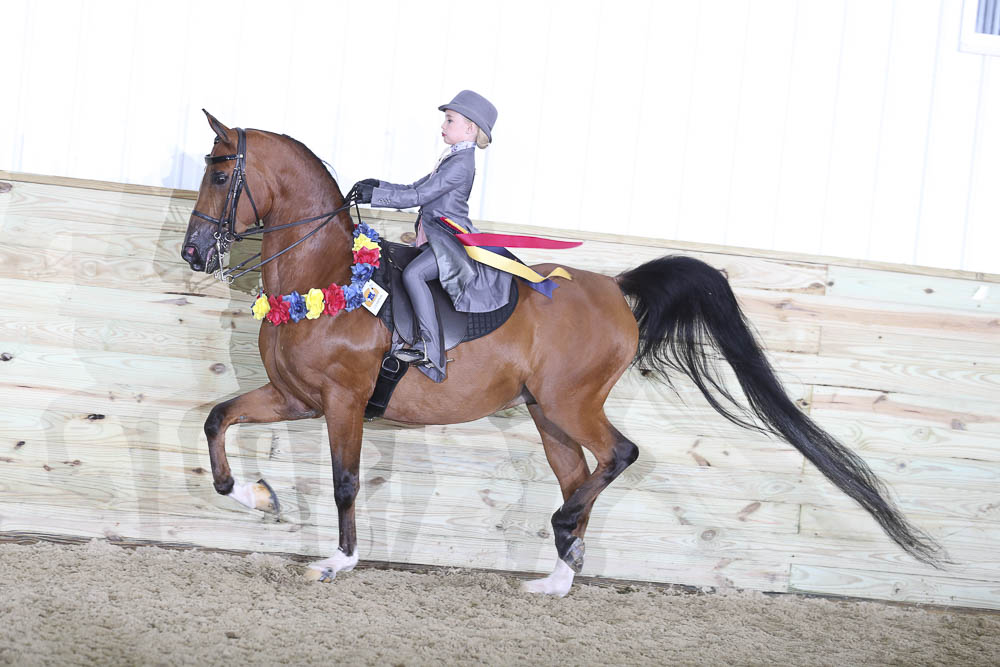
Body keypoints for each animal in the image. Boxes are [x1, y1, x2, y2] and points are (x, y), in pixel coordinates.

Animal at [181, 110, 944, 596]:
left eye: (220, 174)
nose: (191, 253)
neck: (325, 276)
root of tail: (615, 288)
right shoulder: (295, 397)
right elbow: (218, 418)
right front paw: (254, 495)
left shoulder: (342, 401)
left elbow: (344, 482)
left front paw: (337, 562)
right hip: (547, 413)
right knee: (582, 473)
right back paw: (558, 570)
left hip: (569, 403)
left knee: (619, 456)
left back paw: (565, 533)